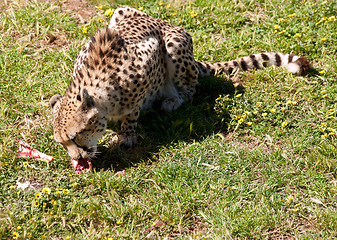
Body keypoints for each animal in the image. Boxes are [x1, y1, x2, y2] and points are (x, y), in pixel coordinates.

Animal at [49, 6, 310, 172]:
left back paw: (171, 101)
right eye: (62, 143)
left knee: (191, 88)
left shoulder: (150, 53)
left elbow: (133, 109)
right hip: (120, 11)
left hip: (174, 44)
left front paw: (128, 134)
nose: (77, 159)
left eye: (75, 137)